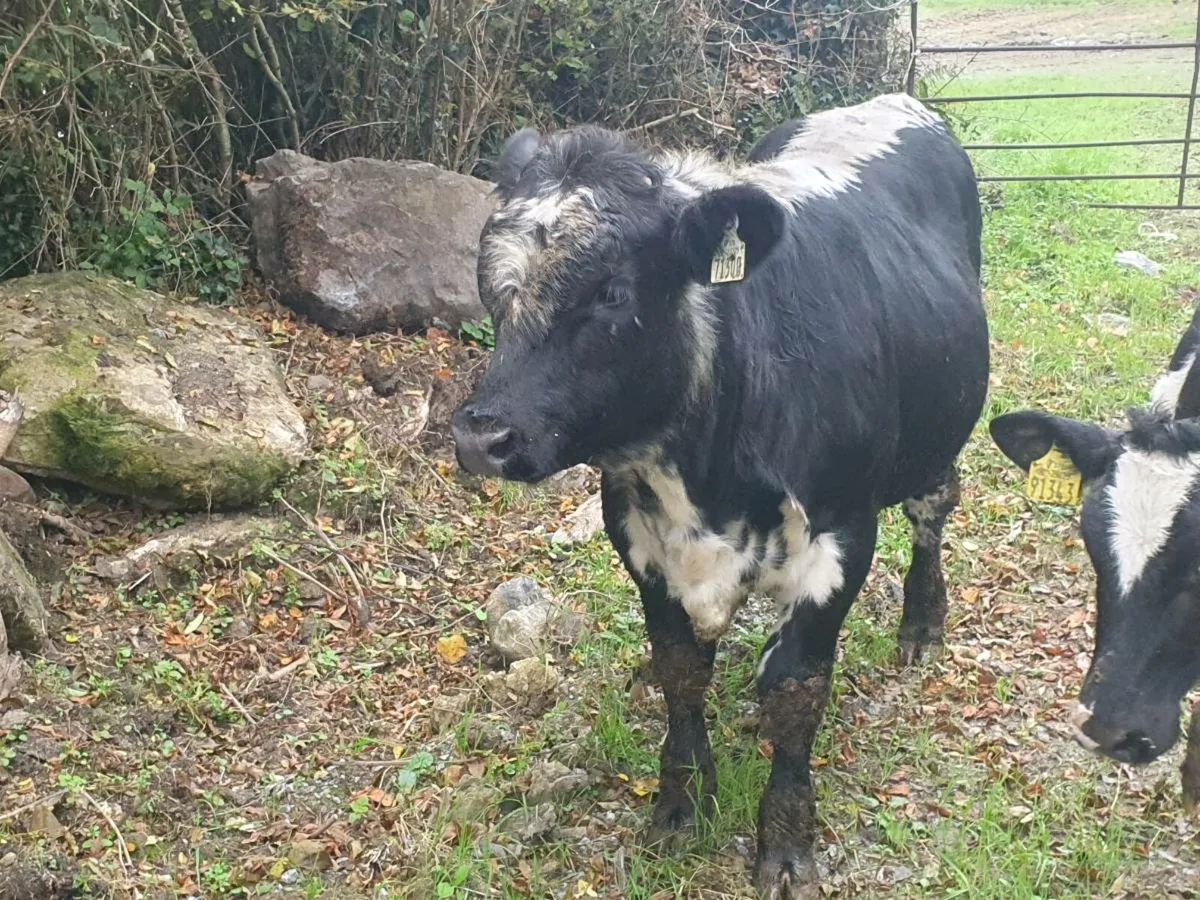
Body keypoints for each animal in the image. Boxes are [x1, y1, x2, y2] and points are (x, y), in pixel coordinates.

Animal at [451, 93, 989, 897]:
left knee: (933, 513)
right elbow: (681, 673)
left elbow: (799, 691)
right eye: (491, 288)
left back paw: (922, 625)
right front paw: (679, 806)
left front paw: (787, 845)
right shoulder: (639, 540)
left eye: (613, 292)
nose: (482, 436)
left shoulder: (843, 536)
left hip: (940, 439)